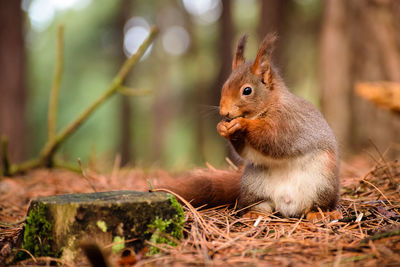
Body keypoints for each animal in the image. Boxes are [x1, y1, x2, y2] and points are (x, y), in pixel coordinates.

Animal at [158, 33, 340, 220]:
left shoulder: (290, 123)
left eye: (247, 91)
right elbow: (247, 152)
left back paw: (318, 214)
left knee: (317, 204)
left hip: (322, 183)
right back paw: (254, 213)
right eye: (224, 87)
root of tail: (287, 206)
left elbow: (275, 139)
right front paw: (222, 128)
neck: (266, 107)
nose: (224, 112)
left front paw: (242, 124)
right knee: (262, 205)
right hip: (253, 185)